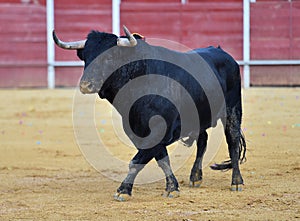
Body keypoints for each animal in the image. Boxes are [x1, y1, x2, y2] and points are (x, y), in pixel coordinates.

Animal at [54, 26, 246, 201]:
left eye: (110, 57)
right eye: (86, 57)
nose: (86, 85)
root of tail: (222, 52)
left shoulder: (160, 130)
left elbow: (137, 161)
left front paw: (123, 190)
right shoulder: (138, 131)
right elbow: (161, 158)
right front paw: (172, 187)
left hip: (233, 109)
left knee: (232, 140)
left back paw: (236, 182)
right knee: (203, 140)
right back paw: (195, 177)